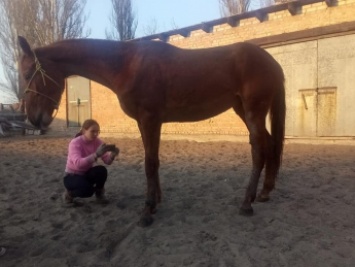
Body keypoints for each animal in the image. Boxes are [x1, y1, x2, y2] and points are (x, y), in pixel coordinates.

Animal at [18, 35, 288, 227]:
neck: (126, 65)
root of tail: (272, 62)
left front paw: (147, 211)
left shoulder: (150, 119)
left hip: (253, 111)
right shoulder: (145, 121)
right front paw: (156, 201)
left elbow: (149, 163)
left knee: (259, 149)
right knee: (270, 144)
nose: (34, 119)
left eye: (29, 73)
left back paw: (246, 204)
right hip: (242, 110)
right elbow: (153, 160)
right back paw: (264, 193)